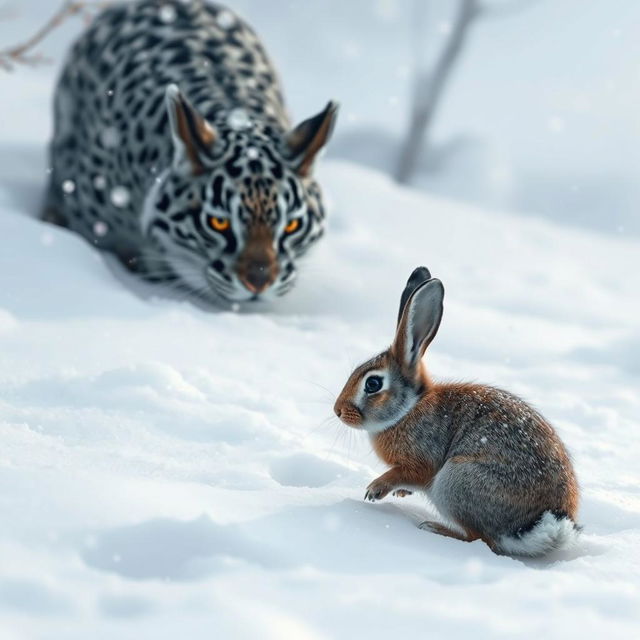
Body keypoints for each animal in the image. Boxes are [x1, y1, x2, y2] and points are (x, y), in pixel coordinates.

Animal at [336, 264, 580, 556]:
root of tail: (537, 527)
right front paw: (400, 493)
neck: (409, 408)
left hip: (453, 481)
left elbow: (408, 473)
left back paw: (434, 528)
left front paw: (375, 489)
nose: (338, 410)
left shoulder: (423, 458)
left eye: (372, 384)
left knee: (480, 539)